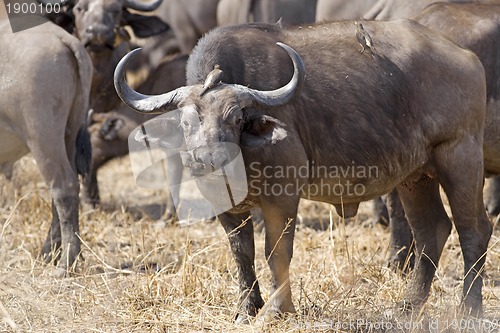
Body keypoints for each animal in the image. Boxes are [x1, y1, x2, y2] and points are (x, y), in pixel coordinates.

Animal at [0, 19, 93, 274]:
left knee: (64, 187)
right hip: (67, 138)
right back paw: (49, 254)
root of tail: (62, 38)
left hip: (43, 138)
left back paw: (65, 263)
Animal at [115, 22, 490, 318]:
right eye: (185, 121)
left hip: (459, 157)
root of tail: (468, 60)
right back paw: (407, 308)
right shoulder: (225, 207)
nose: (208, 159)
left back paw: (468, 309)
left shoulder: (283, 199)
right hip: (416, 177)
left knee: (474, 230)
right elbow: (242, 252)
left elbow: (276, 251)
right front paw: (247, 308)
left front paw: (279, 309)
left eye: (235, 118)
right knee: (432, 232)